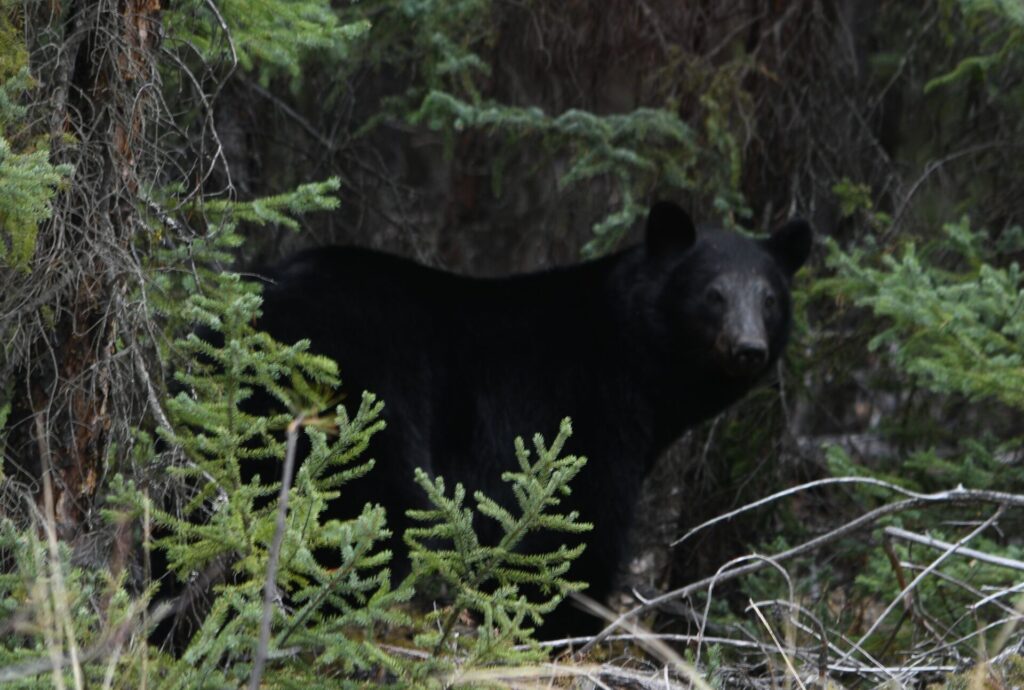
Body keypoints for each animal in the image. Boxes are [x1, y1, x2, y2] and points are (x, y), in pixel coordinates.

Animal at [252, 200, 812, 634]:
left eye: (769, 298)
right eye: (713, 295)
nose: (748, 348)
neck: (636, 359)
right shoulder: (587, 413)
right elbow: (577, 526)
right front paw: (559, 624)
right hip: (365, 391)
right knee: (364, 503)